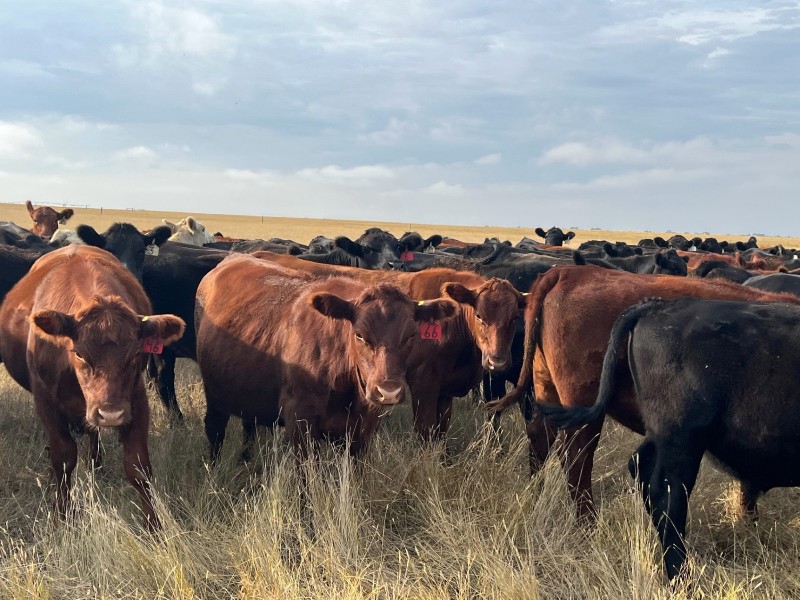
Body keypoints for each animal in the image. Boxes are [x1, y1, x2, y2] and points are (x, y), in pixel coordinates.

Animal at [0, 244, 185, 528]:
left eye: (135, 354)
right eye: (78, 353)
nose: (110, 414)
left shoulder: (135, 400)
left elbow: (138, 466)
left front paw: (153, 526)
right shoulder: (46, 401)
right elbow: (63, 458)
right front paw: (63, 515)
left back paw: (96, 464)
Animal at [195, 254, 456, 460]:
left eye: (411, 335)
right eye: (359, 335)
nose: (388, 391)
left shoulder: (363, 428)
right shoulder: (300, 421)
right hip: (214, 392)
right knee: (215, 429)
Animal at [486, 265, 800, 521]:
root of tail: (569, 273)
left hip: (546, 389)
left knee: (541, 437)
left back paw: (534, 496)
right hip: (583, 406)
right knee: (577, 457)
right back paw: (587, 523)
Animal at [538, 297, 800, 580]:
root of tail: (657, 306)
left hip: (663, 437)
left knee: (642, 469)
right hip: (681, 440)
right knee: (668, 495)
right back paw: (680, 575)